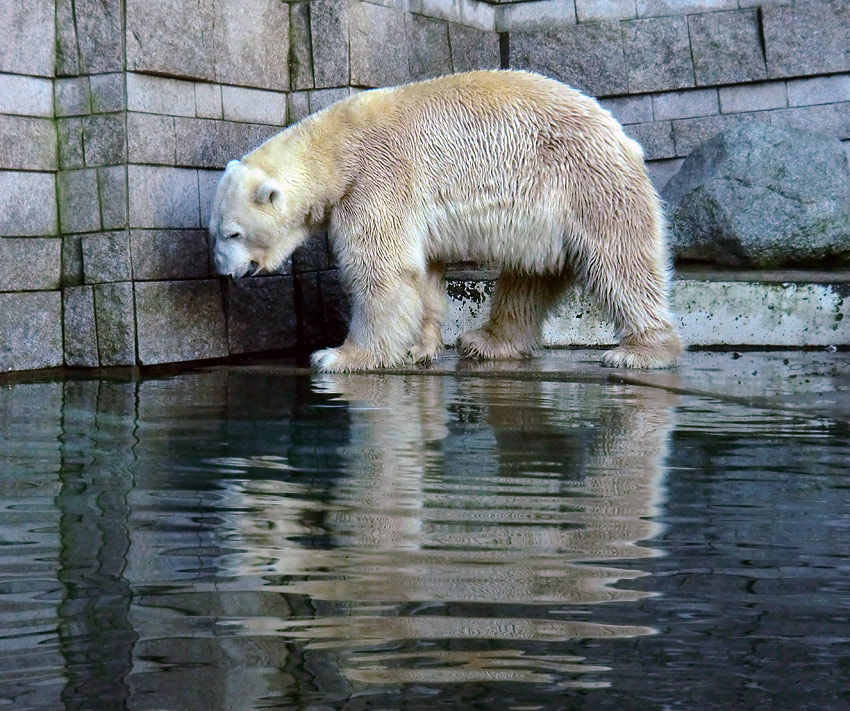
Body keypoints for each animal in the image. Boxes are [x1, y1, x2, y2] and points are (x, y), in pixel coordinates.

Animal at [212, 70, 684, 372]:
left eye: (233, 232)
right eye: (214, 232)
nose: (221, 269)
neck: (335, 149)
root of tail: (623, 136)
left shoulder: (376, 179)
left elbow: (380, 269)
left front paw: (339, 356)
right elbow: (422, 273)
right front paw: (421, 346)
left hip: (587, 184)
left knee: (621, 263)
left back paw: (640, 352)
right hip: (545, 221)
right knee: (530, 276)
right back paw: (488, 342)